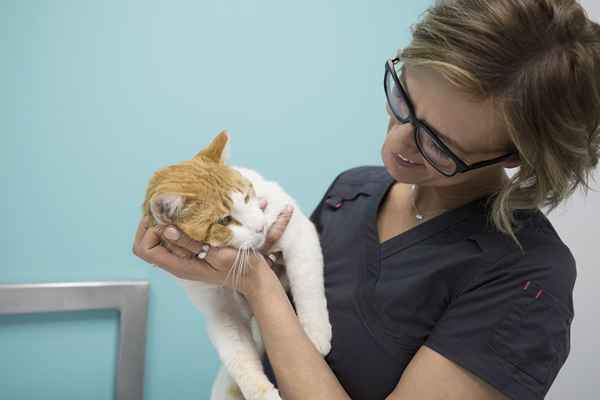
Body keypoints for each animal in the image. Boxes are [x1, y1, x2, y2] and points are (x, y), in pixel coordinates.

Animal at [141, 130, 332, 400]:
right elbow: (238, 357)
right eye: (224, 220)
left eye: (247, 197)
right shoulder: (219, 310)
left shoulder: (298, 232)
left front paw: (315, 335)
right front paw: (262, 393)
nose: (260, 227)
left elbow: (308, 287)